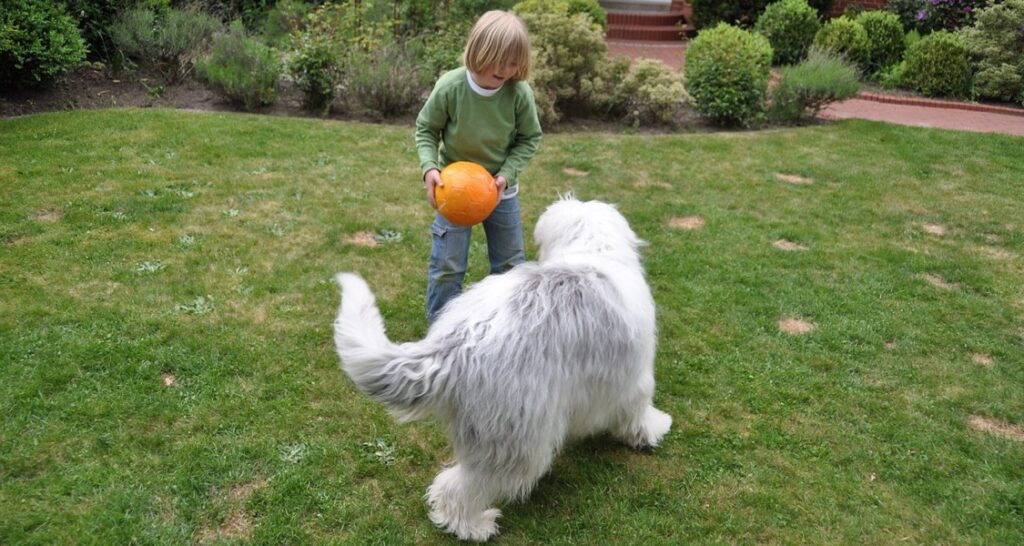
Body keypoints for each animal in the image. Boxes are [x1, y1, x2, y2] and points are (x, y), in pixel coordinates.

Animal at [333, 196, 671, 540]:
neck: (592, 250)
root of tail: (458, 344)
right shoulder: (634, 378)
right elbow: (637, 410)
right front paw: (652, 430)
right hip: (515, 437)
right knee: (461, 487)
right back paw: (473, 526)